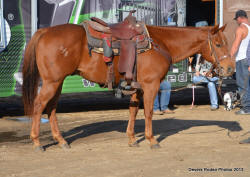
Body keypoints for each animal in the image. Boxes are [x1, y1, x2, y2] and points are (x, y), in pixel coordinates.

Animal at [22, 23, 234, 151]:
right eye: (218, 44)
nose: (230, 68)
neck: (161, 43)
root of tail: (45, 31)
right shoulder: (151, 85)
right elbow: (148, 112)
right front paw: (151, 140)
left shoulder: (137, 87)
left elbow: (133, 111)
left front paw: (132, 139)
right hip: (52, 82)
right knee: (39, 105)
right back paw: (36, 141)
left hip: (57, 83)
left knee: (51, 107)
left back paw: (61, 140)